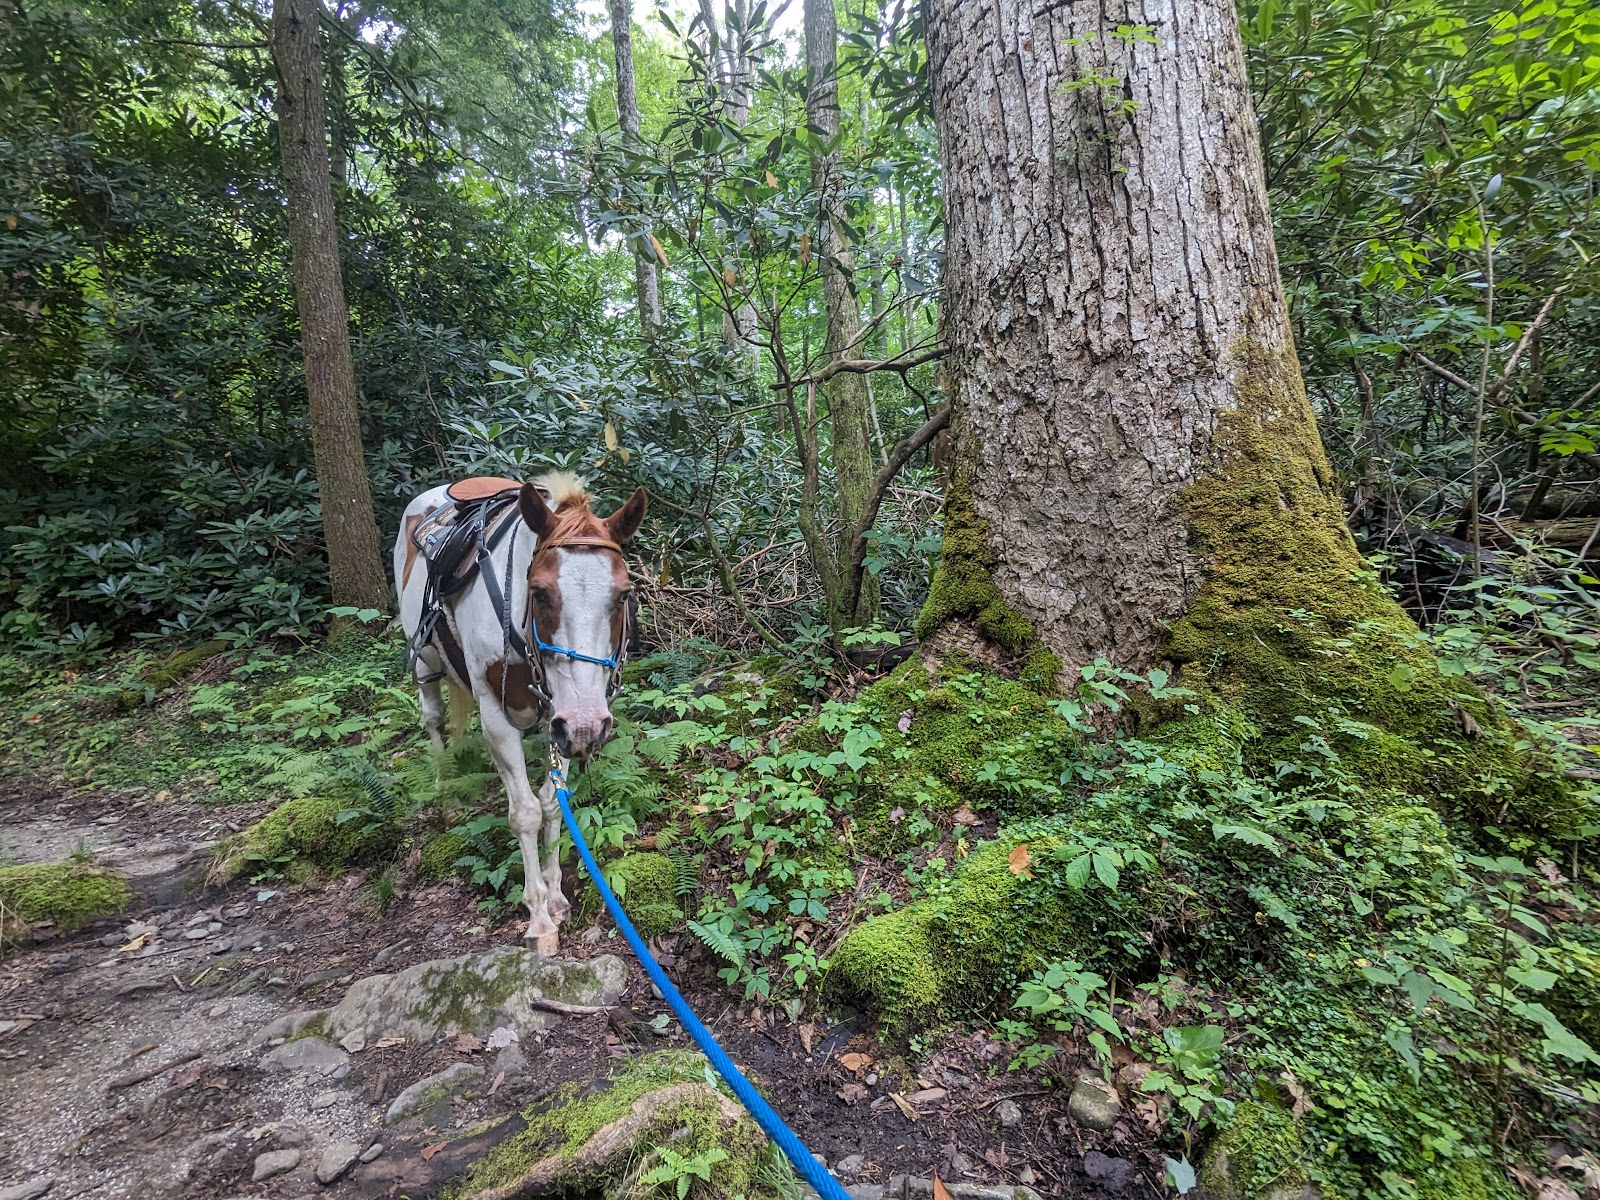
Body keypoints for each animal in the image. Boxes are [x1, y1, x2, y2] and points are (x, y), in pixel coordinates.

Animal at [393, 471, 647, 954]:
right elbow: (525, 812)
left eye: (624, 595)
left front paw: (556, 896)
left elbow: (551, 804)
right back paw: (448, 795)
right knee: (434, 720)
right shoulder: (501, 718)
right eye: (540, 593)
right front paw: (539, 917)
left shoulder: (560, 720)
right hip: (425, 663)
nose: (590, 725)